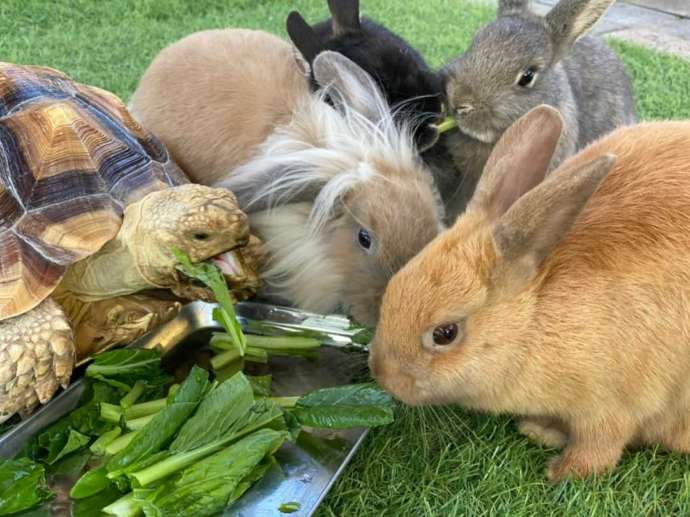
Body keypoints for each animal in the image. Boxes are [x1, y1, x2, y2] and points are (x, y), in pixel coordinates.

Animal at [370, 104, 690, 480]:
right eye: (393, 287)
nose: (381, 373)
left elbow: (599, 447)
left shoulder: (612, 406)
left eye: (445, 333)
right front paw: (539, 430)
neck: (532, 319)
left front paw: (561, 472)